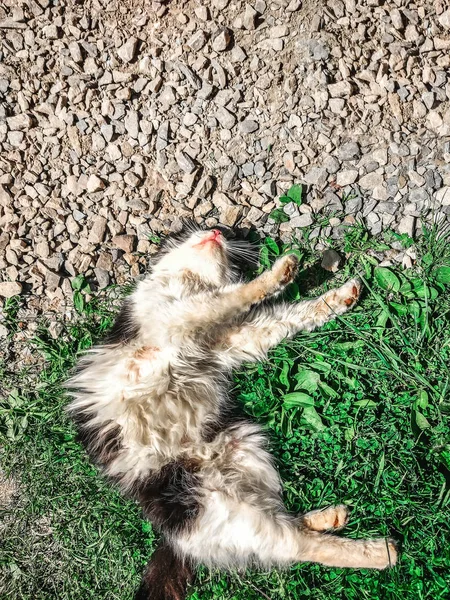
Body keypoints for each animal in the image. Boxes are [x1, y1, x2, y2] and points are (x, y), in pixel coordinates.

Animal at [67, 227, 398, 600]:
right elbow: (232, 296)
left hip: (248, 452)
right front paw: (281, 270)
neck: (191, 283)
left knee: (287, 527)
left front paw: (341, 296)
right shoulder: (176, 319)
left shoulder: (233, 338)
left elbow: (290, 314)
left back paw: (332, 517)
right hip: (229, 509)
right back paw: (382, 552)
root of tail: (175, 539)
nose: (215, 230)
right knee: (297, 546)